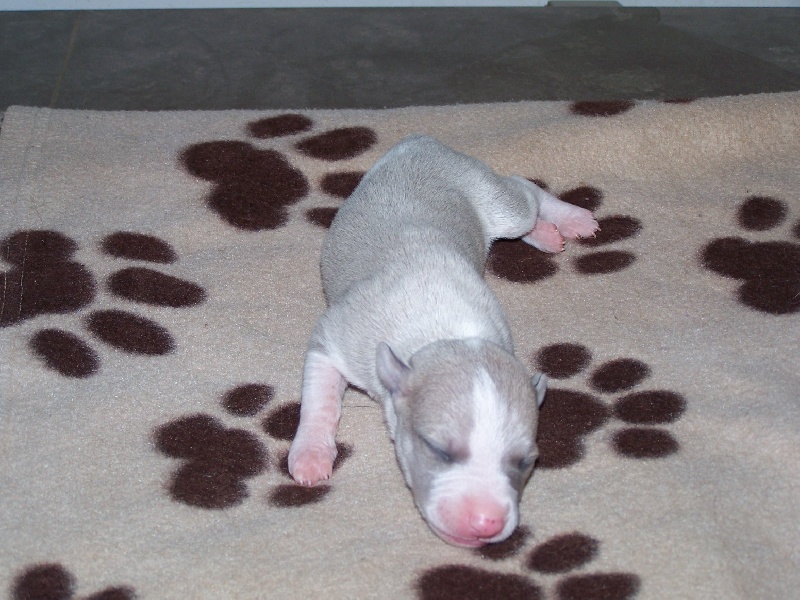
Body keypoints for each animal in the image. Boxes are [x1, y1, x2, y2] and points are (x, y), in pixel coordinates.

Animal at [288, 135, 598, 547]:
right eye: (437, 449)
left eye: (525, 461)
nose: (486, 523)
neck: (448, 335)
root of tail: (422, 141)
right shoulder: (337, 337)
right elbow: (319, 396)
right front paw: (310, 456)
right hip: (490, 197)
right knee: (521, 190)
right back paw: (554, 227)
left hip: (496, 204)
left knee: (523, 193)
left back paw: (563, 223)